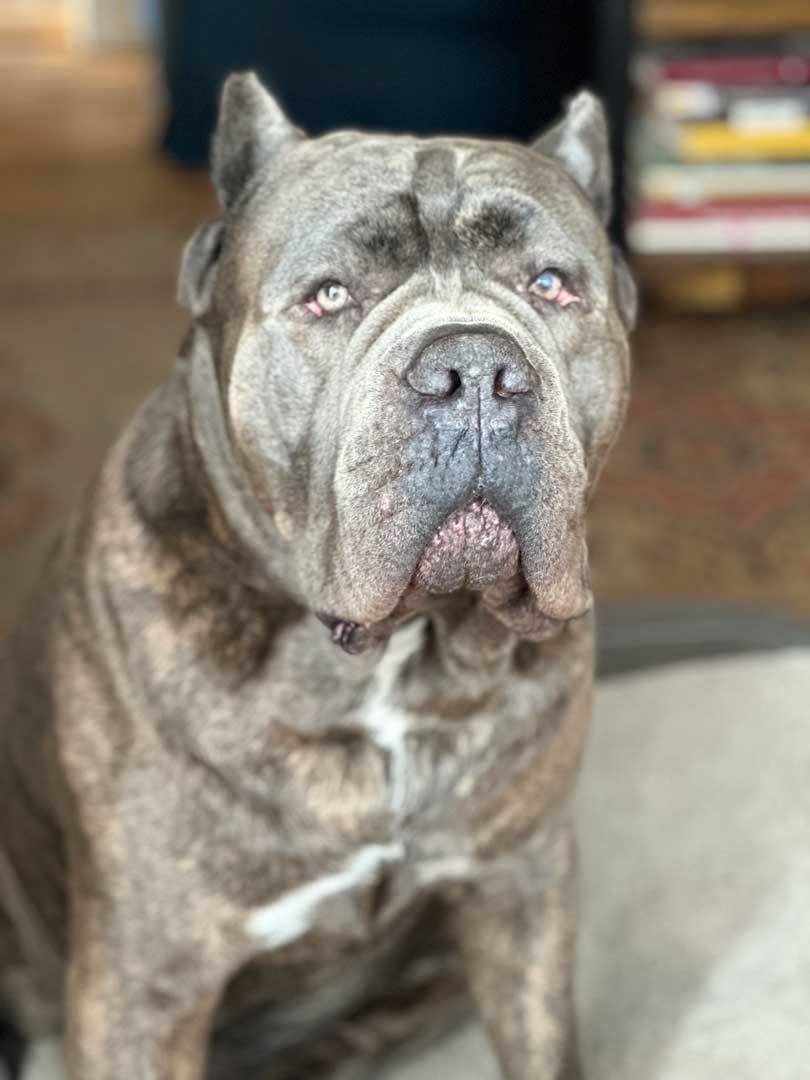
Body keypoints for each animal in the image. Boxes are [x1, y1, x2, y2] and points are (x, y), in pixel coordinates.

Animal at [0, 71, 635, 1075]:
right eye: (329, 296)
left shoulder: (520, 889)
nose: (475, 367)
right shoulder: (145, 980)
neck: (393, 665)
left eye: (551, 285)